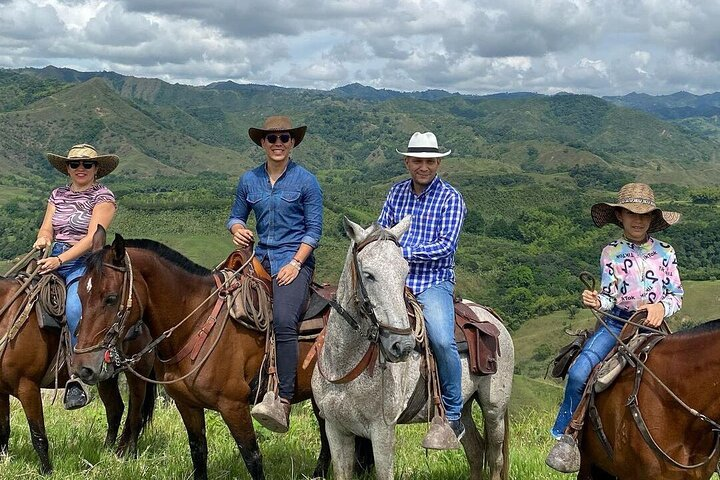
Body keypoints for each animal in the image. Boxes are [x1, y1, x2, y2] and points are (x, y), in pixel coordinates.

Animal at [0, 270, 156, 472]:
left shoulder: (27, 387)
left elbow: (38, 435)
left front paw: (47, 471)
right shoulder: (1, 391)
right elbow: (4, 429)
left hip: (137, 373)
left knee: (136, 415)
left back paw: (130, 455)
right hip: (105, 378)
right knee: (115, 410)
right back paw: (109, 451)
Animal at [70, 228, 334, 480]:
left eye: (111, 298)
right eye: (80, 294)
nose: (84, 367)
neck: (196, 324)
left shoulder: (234, 406)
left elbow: (252, 458)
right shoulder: (187, 404)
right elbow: (198, 451)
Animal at [312, 218, 516, 480]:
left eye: (404, 272)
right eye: (369, 275)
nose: (403, 345)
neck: (345, 365)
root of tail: (490, 316)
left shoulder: (382, 431)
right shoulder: (336, 429)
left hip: (494, 410)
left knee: (494, 457)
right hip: (465, 408)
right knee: (475, 450)